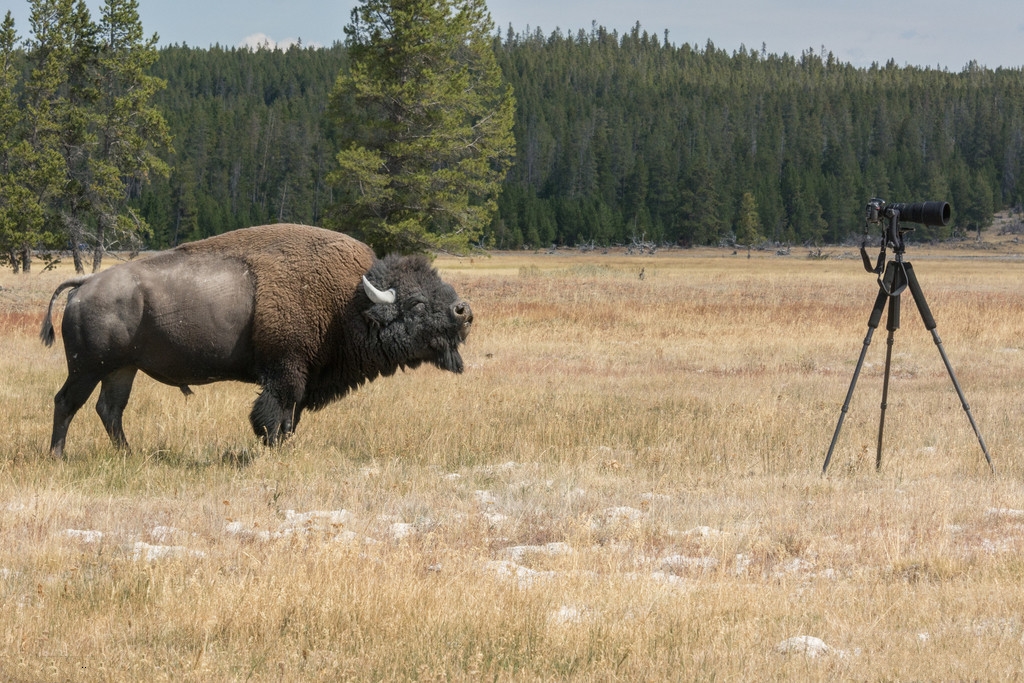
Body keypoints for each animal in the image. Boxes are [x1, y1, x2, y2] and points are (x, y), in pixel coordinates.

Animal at [38, 224, 471, 458]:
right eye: (416, 303)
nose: (462, 311)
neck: (348, 301)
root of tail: (84, 285)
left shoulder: (302, 378)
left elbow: (291, 416)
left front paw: (284, 445)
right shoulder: (285, 371)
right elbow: (274, 414)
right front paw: (273, 446)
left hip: (122, 369)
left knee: (110, 410)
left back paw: (129, 454)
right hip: (88, 367)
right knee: (67, 402)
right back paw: (58, 455)